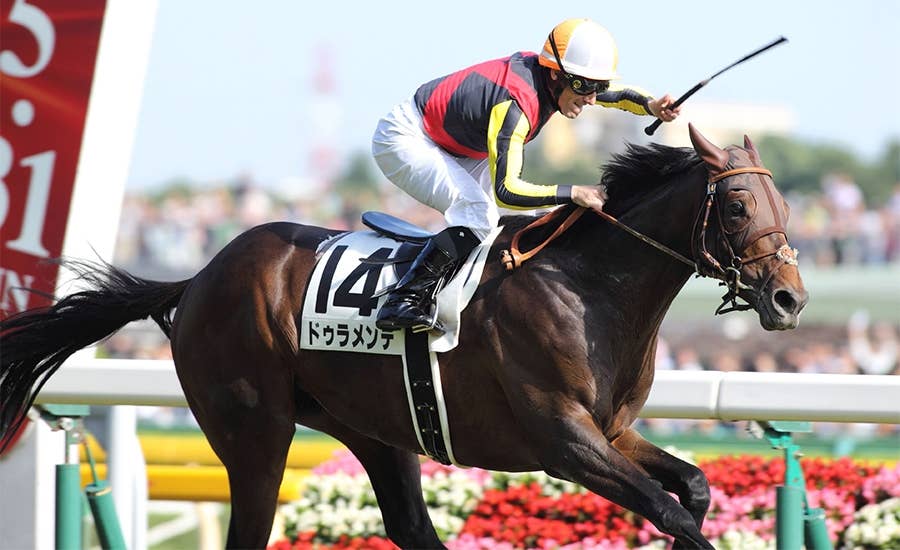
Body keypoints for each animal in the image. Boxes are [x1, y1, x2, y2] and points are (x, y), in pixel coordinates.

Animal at [0, 124, 807, 549]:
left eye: (783, 203)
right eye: (737, 205)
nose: (789, 296)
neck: (588, 288)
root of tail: (196, 279)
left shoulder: (610, 431)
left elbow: (692, 487)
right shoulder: (563, 440)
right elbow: (670, 508)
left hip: (374, 428)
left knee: (411, 525)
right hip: (254, 431)